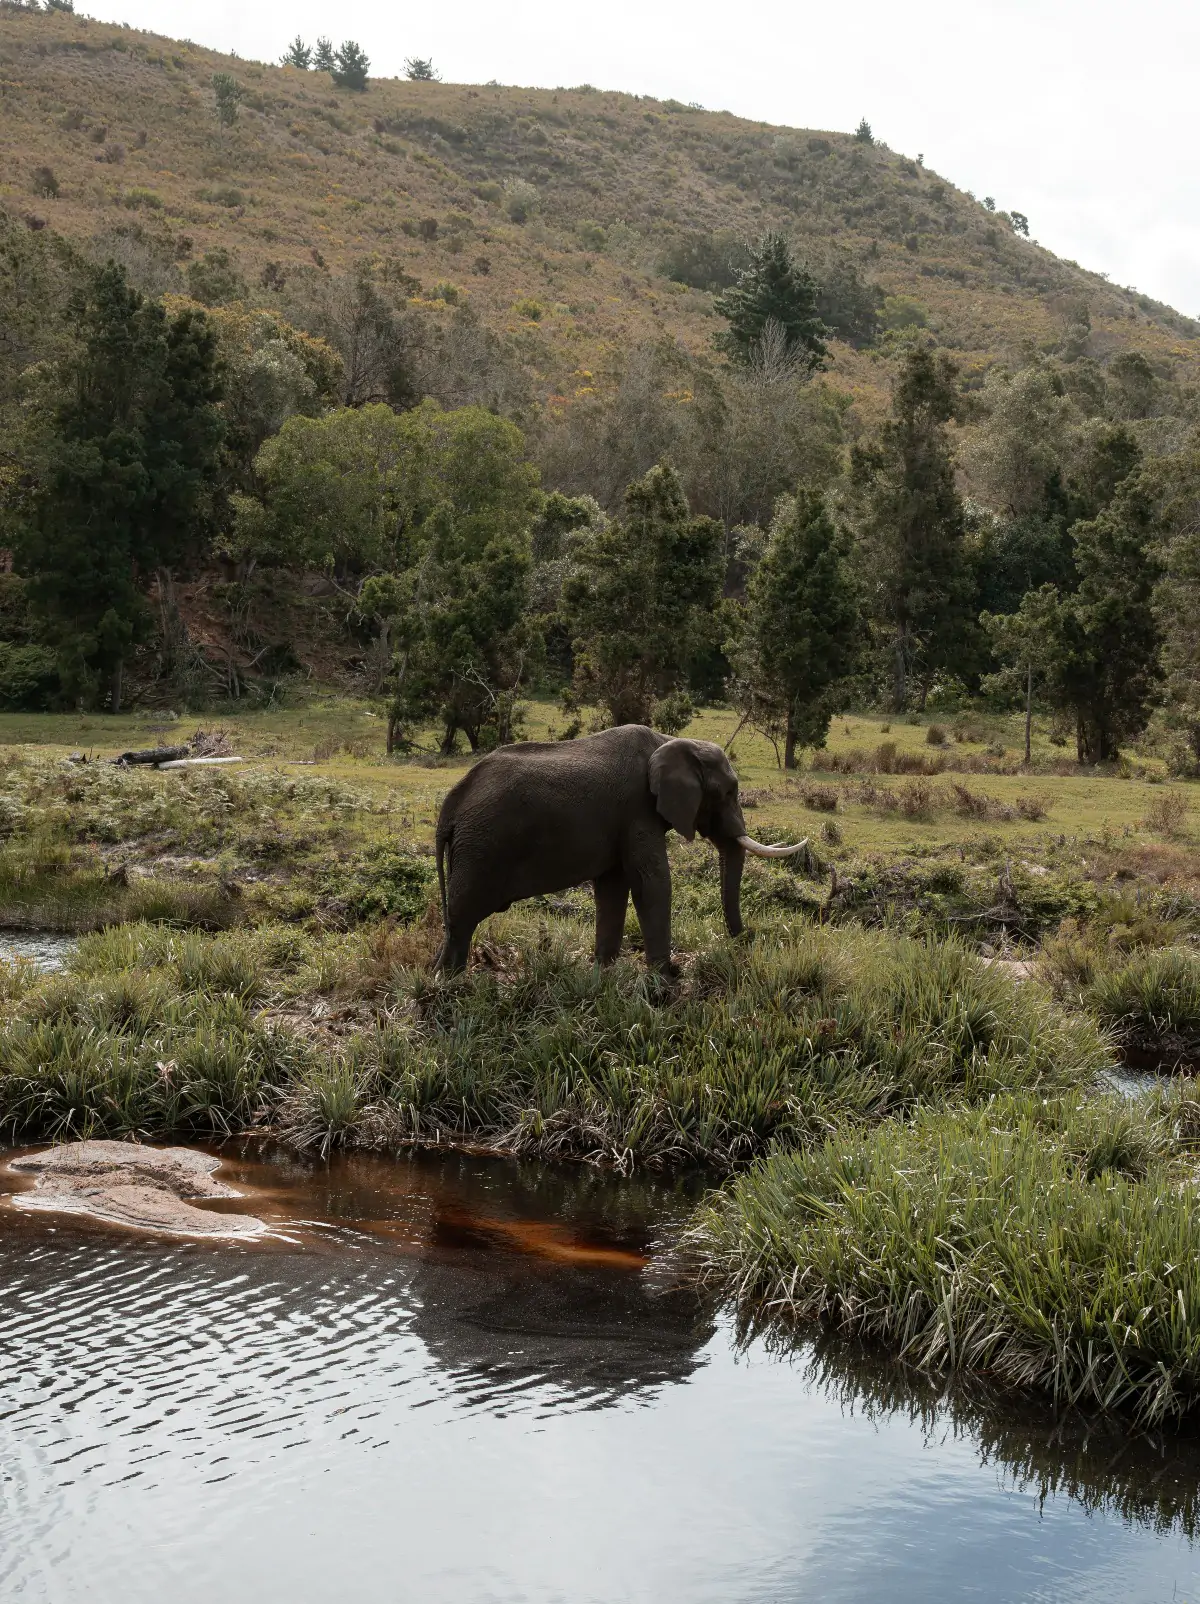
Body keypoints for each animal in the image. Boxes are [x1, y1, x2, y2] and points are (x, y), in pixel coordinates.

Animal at [433, 721, 805, 968]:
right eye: (727, 792)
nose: (747, 939)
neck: (669, 741)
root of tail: (452, 801)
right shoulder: (636, 808)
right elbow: (651, 880)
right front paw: (665, 976)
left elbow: (613, 886)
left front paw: (604, 970)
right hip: (481, 846)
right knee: (463, 915)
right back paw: (449, 983)